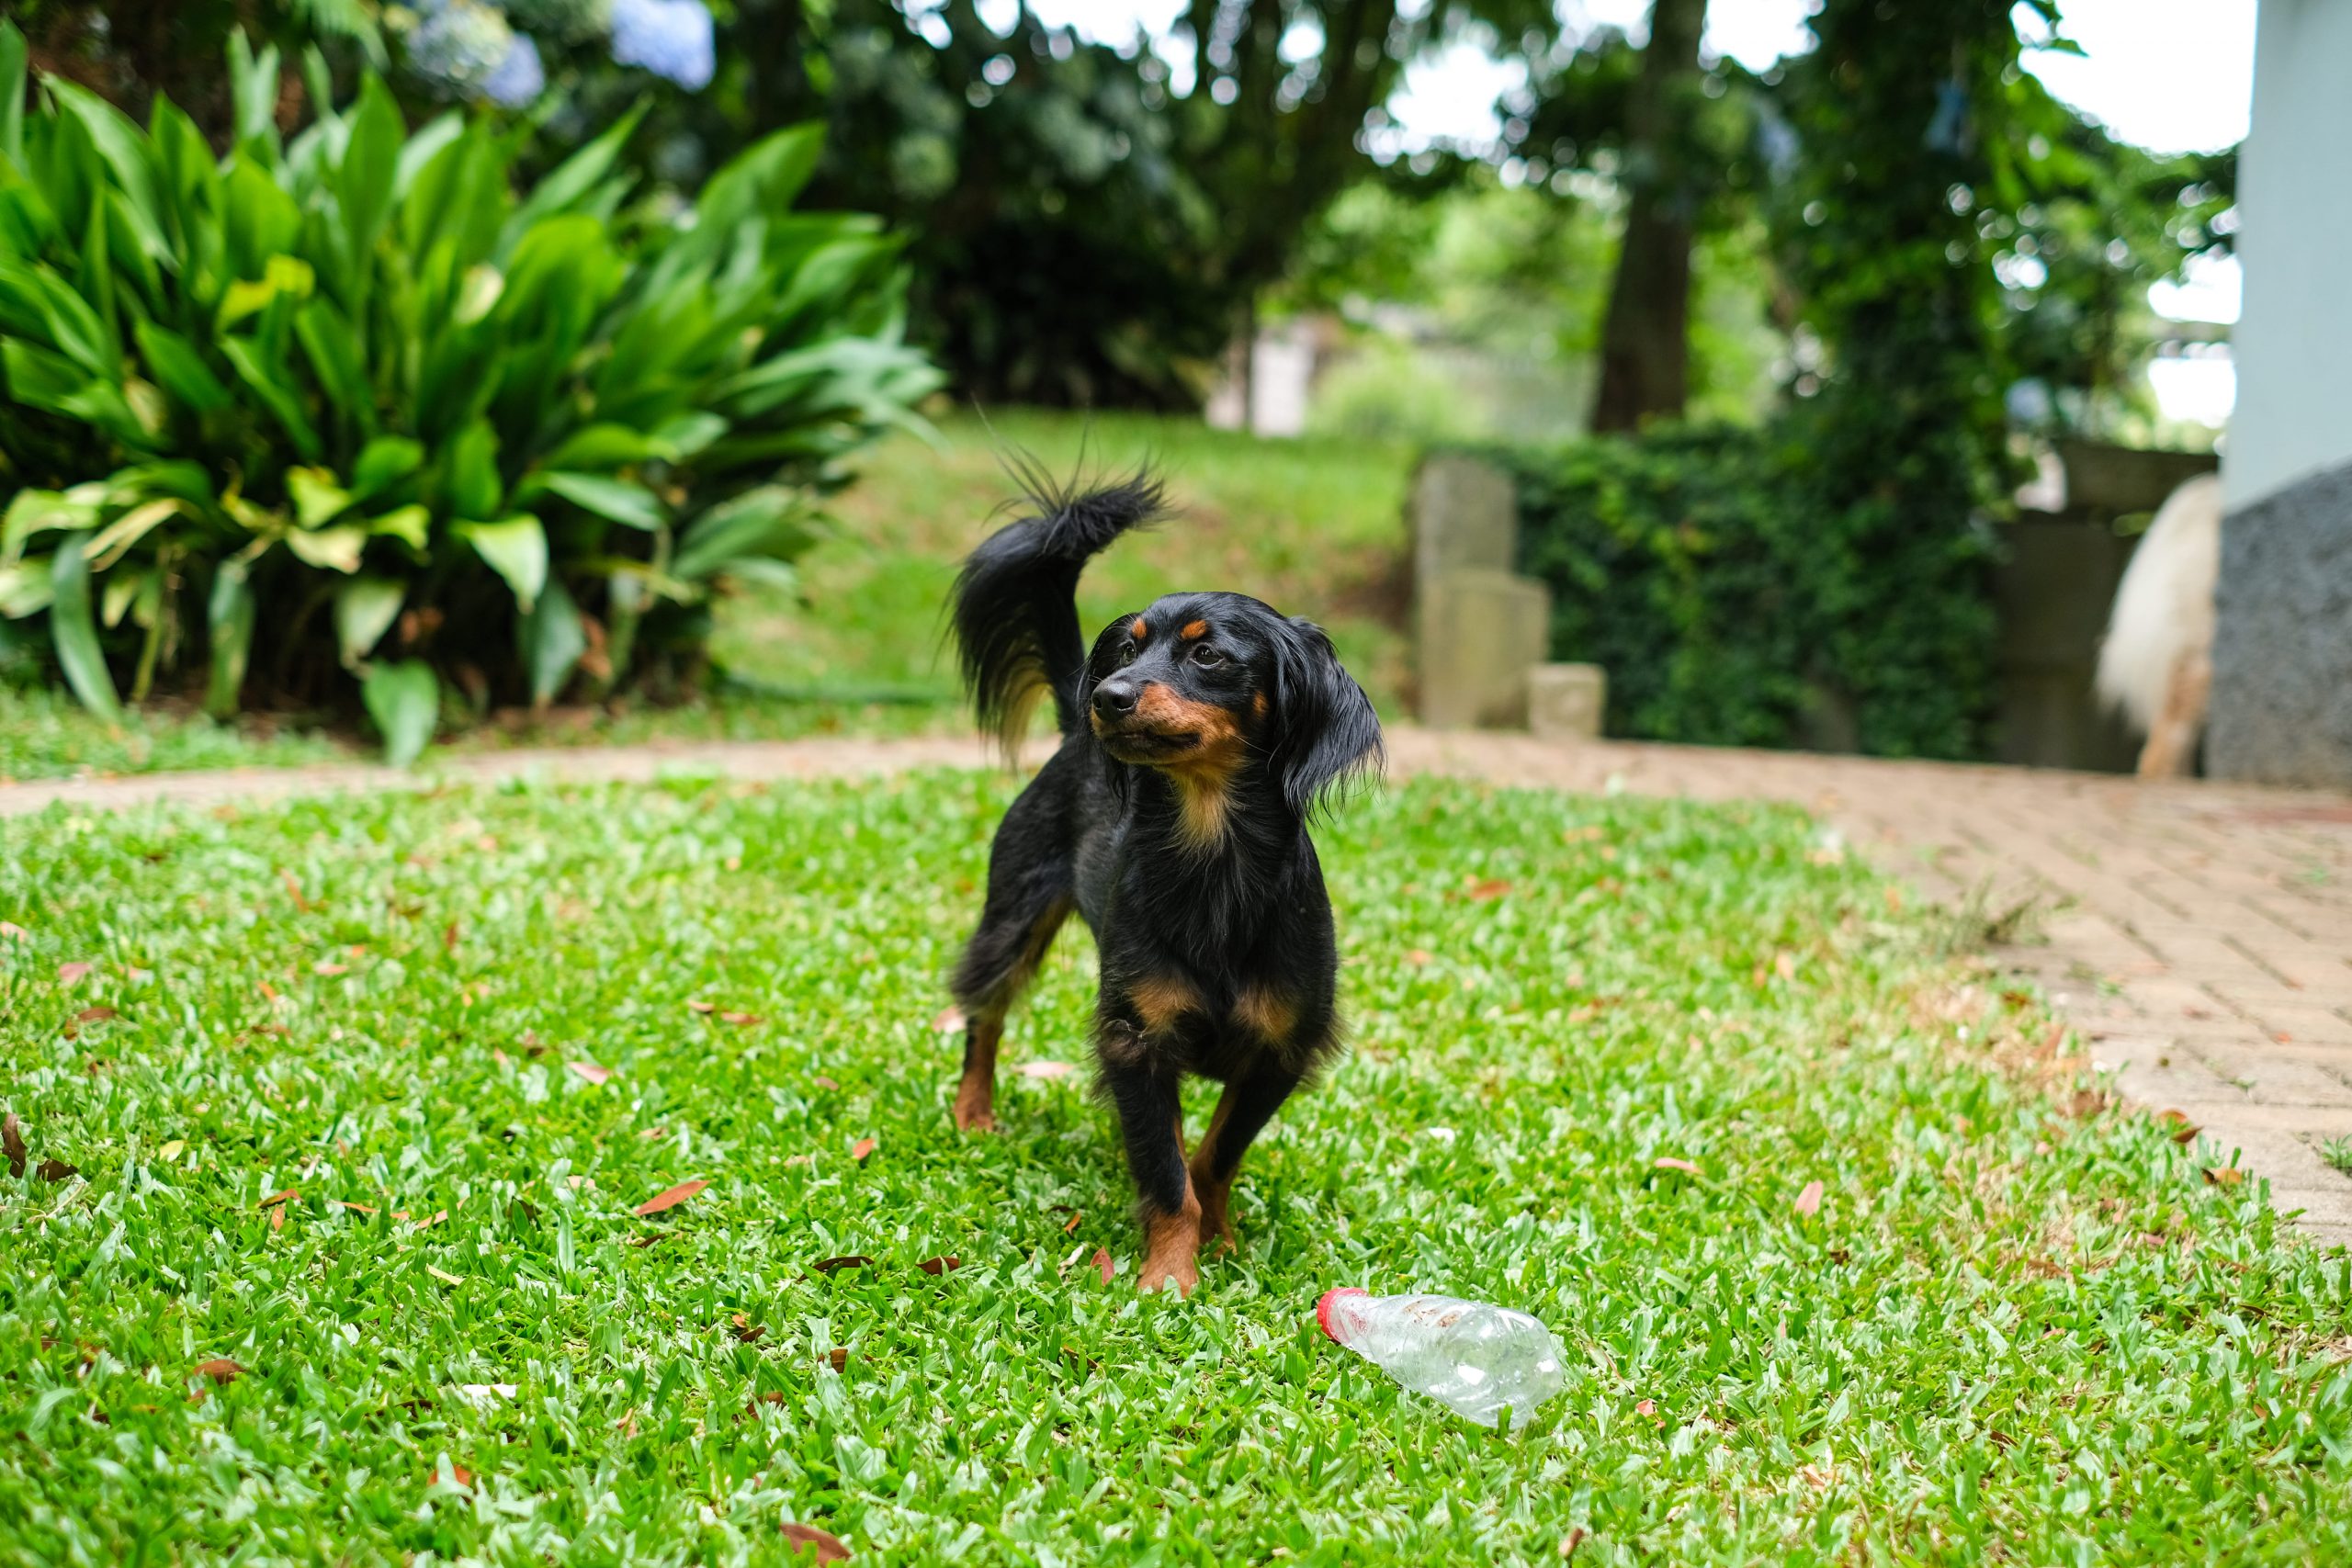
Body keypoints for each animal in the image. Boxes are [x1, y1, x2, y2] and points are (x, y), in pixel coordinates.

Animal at [941, 469, 1374, 1297]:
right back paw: (973, 1111)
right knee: (985, 1013)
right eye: (1129, 647)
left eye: (1207, 655)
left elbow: (1211, 1157)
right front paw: (1169, 1278)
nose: (1106, 694)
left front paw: (1219, 1241)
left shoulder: (1279, 1050)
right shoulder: (1135, 1040)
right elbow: (1170, 1176)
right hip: (1013, 916)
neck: (1213, 859)